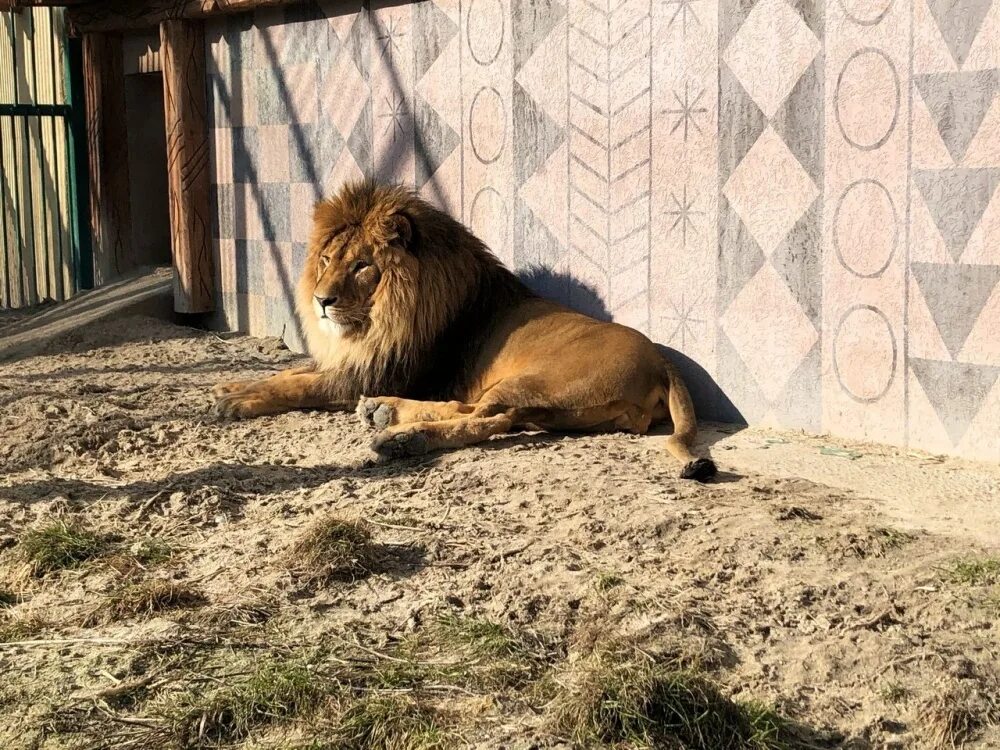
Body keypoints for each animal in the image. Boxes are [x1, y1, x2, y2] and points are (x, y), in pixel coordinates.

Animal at [215, 181, 720, 482]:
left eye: (361, 266)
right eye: (325, 259)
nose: (321, 301)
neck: (378, 321)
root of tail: (663, 363)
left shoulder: (380, 369)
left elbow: (300, 386)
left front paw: (237, 401)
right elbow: (291, 374)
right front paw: (232, 385)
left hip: (538, 380)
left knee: (482, 417)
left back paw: (400, 437)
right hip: (556, 407)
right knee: (487, 414)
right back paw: (384, 414)